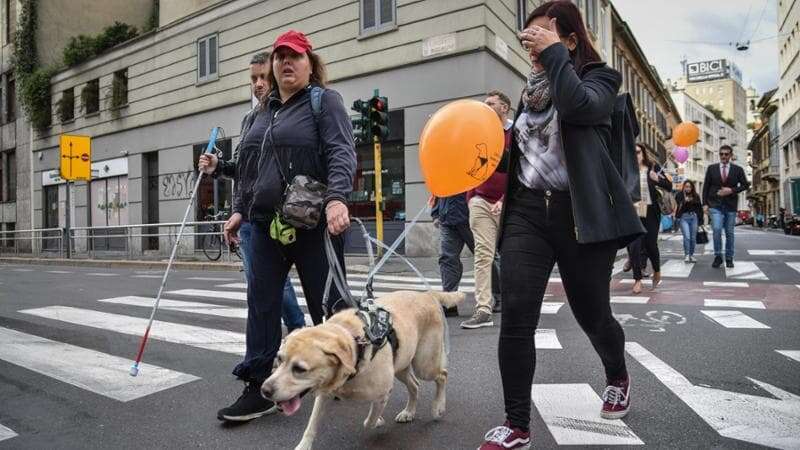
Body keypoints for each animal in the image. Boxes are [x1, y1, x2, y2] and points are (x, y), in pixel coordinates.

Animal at [262, 290, 462, 448]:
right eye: (279, 359)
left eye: (300, 369)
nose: (264, 390)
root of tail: (426, 294)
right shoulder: (324, 393)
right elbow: (310, 426)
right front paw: (303, 446)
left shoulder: (383, 393)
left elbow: (370, 421)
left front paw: (378, 420)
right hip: (401, 363)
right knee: (415, 385)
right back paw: (409, 412)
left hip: (424, 364)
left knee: (442, 375)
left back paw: (438, 407)